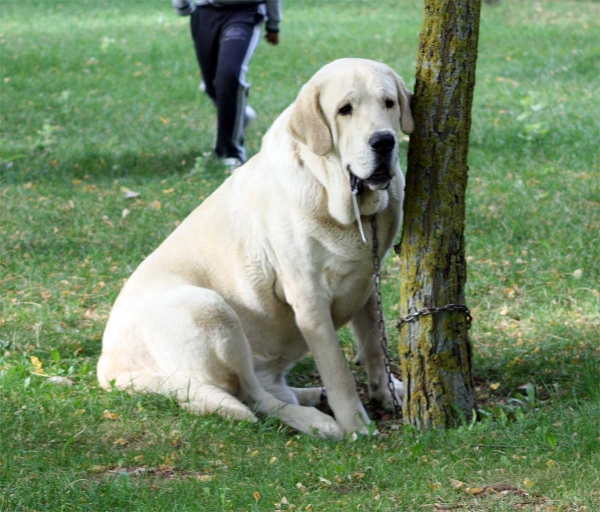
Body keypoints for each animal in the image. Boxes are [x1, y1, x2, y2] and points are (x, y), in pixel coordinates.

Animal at [99, 58, 412, 438]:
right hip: (210, 309)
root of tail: (108, 364)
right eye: (345, 110)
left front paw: (388, 393)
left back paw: (309, 395)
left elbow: (374, 346)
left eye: (389, 103)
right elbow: (338, 371)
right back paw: (315, 420)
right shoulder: (310, 301)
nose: (384, 142)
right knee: (253, 397)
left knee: (263, 388)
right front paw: (355, 424)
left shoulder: (368, 282)